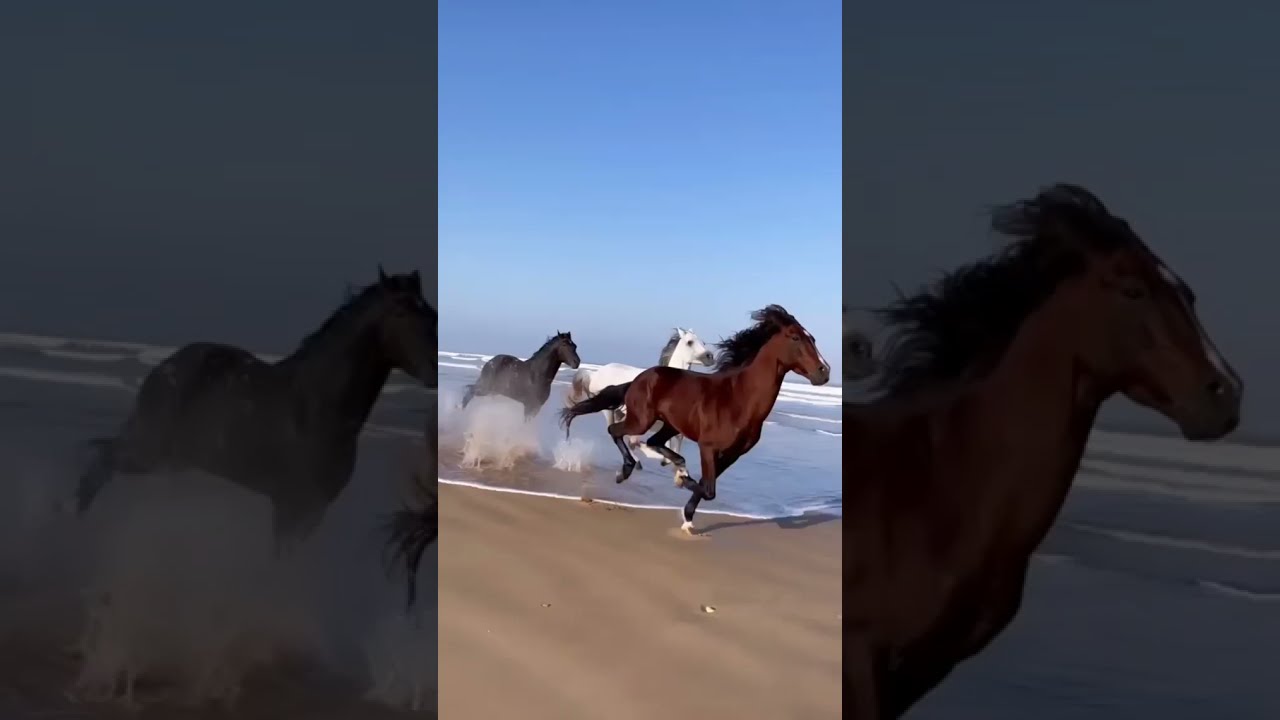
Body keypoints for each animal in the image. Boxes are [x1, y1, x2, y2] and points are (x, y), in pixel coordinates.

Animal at [75, 267, 438, 552]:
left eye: (432, 313)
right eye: (401, 312)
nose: (435, 371)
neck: (318, 406)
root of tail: (166, 366)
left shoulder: (312, 512)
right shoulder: (294, 506)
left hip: (170, 458)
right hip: (147, 449)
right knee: (101, 460)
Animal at [563, 328, 715, 473]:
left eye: (703, 342)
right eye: (689, 342)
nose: (710, 357)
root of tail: (595, 373)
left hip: (619, 413)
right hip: (608, 411)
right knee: (615, 433)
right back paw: (636, 462)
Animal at [842, 184, 1242, 719]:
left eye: (1189, 294)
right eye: (1132, 290)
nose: (1226, 395)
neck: (937, 488)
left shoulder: (926, 665)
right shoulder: (859, 658)